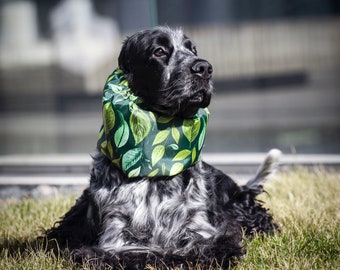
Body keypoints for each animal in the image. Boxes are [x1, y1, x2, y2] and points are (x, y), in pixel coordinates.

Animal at [45, 26, 280, 268]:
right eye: (158, 51)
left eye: (193, 49)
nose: (204, 68)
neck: (157, 167)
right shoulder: (115, 237)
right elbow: (136, 252)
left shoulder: (202, 230)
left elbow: (206, 248)